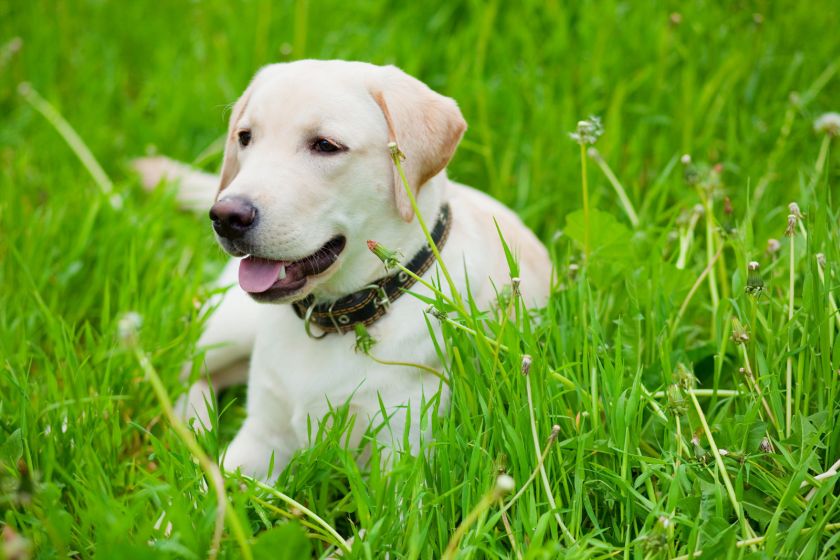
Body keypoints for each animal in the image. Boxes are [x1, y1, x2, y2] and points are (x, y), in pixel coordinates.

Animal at [136, 60, 552, 476]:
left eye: (325, 145)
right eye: (245, 137)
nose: (226, 215)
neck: (337, 315)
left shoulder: (402, 457)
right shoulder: (259, 439)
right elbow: (210, 489)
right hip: (230, 327)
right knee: (187, 370)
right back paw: (192, 430)